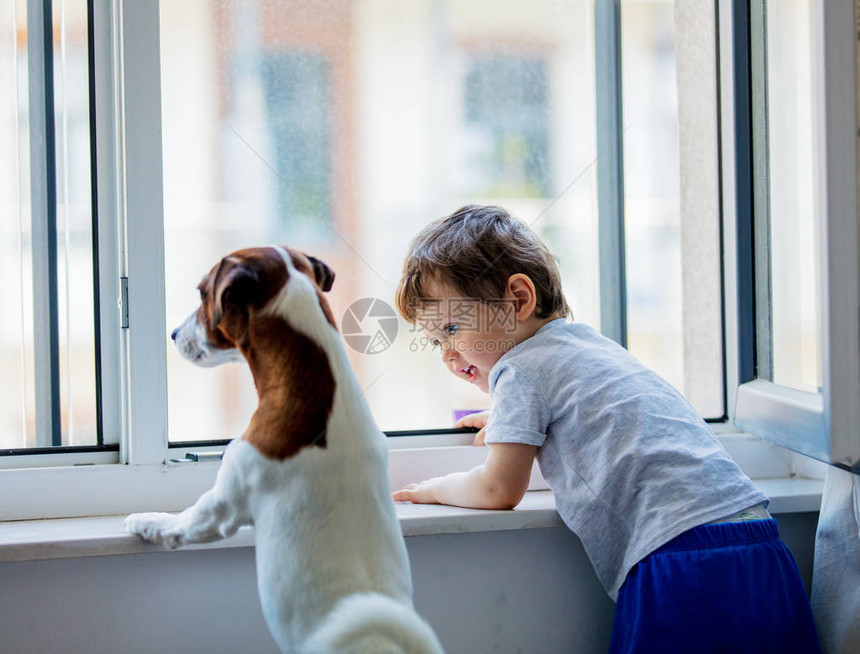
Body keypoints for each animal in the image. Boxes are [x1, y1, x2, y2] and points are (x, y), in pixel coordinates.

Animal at [126, 247, 444, 654]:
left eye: (200, 292)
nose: (174, 333)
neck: (320, 394)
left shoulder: (219, 508)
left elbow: (176, 521)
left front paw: (144, 520)